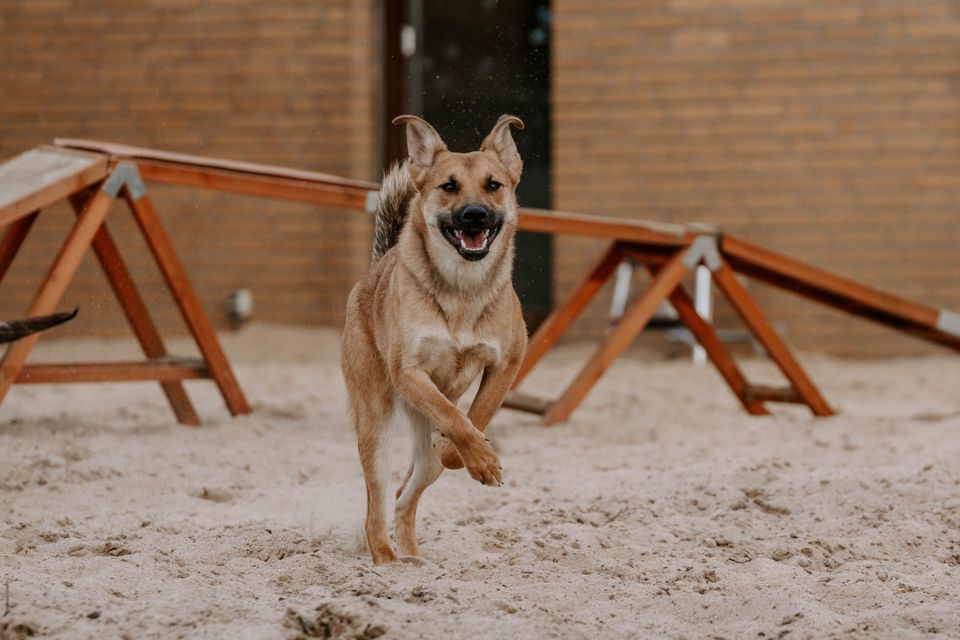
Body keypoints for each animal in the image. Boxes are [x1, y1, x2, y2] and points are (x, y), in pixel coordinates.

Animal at [342, 115, 528, 564]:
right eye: (449, 186)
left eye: (493, 185)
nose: (475, 215)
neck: (462, 288)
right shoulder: (408, 372)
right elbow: (454, 417)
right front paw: (478, 458)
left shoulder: (507, 362)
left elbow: (476, 414)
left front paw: (468, 456)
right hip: (375, 424)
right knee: (377, 503)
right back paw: (387, 560)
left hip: (417, 452)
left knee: (404, 496)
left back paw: (414, 557)